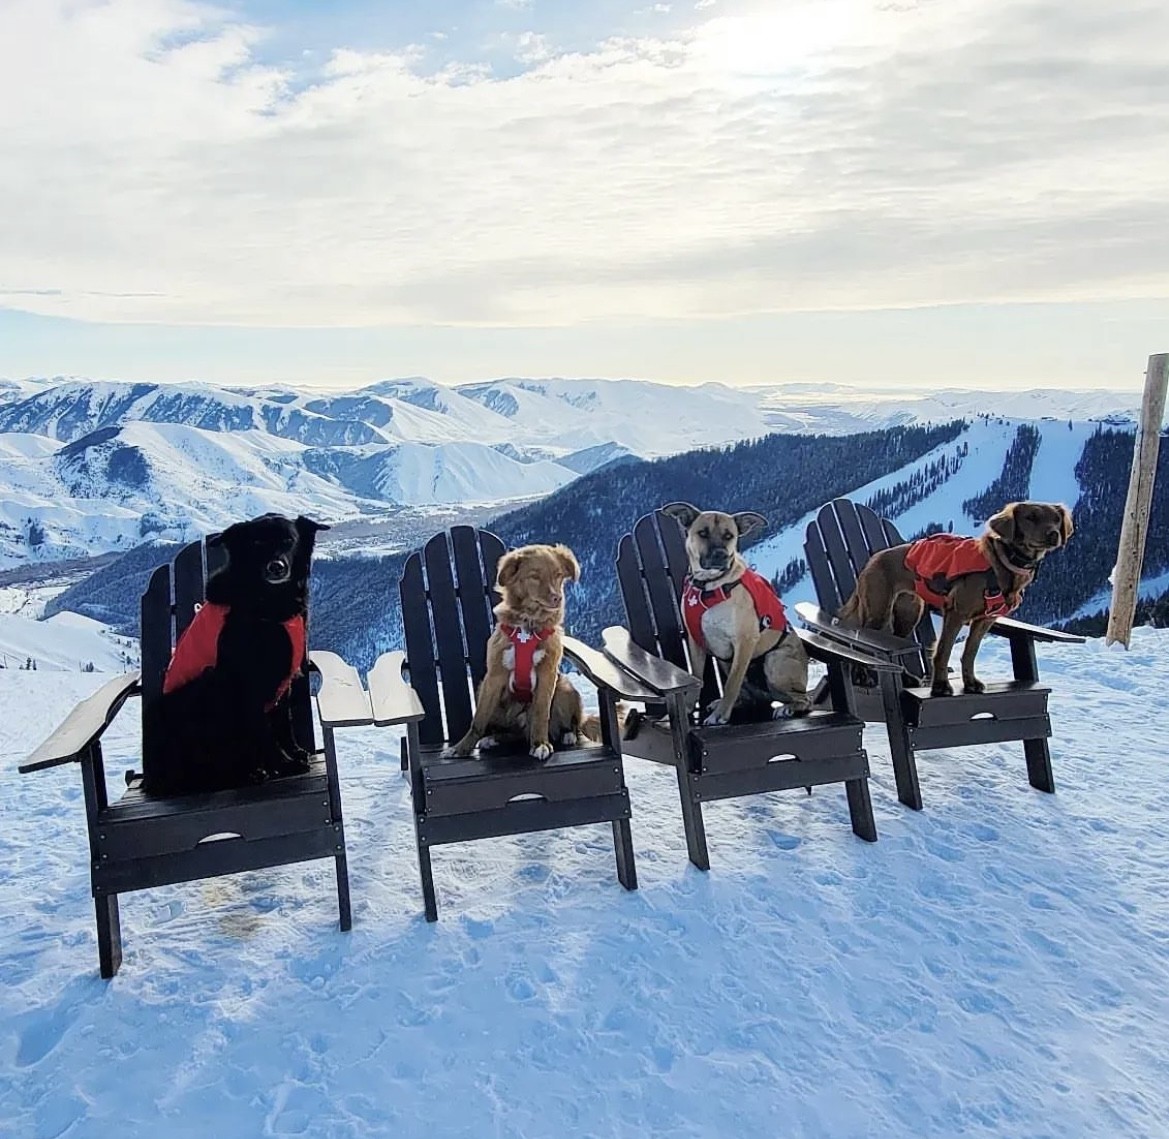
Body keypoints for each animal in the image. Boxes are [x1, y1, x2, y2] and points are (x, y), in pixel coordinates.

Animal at [146, 512, 331, 799]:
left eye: (289, 540)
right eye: (257, 543)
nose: (276, 567)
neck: (268, 603)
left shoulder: (283, 680)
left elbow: (283, 721)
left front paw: (295, 753)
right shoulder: (248, 683)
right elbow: (264, 730)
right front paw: (285, 763)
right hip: (208, 686)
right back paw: (247, 772)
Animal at [444, 544, 593, 757]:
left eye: (557, 574)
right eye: (534, 576)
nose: (557, 598)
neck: (528, 625)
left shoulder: (547, 674)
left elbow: (541, 713)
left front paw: (540, 744)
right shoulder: (494, 676)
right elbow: (478, 720)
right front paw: (460, 748)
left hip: (564, 689)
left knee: (573, 723)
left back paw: (568, 735)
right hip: (485, 691)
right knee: (509, 733)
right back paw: (491, 738)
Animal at [663, 502, 808, 725]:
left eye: (729, 535)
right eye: (702, 533)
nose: (721, 555)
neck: (709, 587)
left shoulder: (744, 641)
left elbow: (732, 683)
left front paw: (720, 715)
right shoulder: (695, 641)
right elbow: (697, 678)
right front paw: (687, 707)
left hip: (775, 662)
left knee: (804, 699)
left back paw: (788, 707)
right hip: (727, 662)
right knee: (750, 696)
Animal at [837, 505, 1070, 701]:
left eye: (1056, 519)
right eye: (1031, 517)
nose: (1053, 534)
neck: (1002, 564)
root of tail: (872, 560)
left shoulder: (984, 620)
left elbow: (969, 653)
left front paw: (970, 683)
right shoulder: (956, 612)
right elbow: (943, 651)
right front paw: (940, 687)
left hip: (909, 612)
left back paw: (907, 678)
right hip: (878, 611)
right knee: (862, 641)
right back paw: (863, 676)